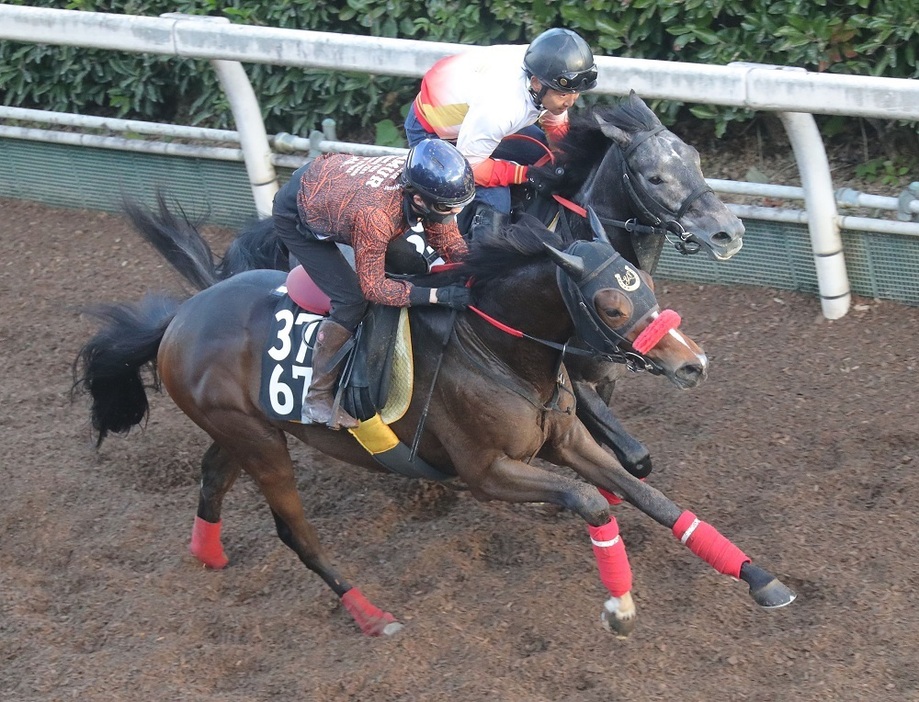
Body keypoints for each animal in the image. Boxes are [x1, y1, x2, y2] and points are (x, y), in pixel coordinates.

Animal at [75, 214, 796, 640]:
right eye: (612, 303)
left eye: (644, 282)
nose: (693, 362)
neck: (499, 348)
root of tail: (180, 318)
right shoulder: (486, 471)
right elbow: (591, 502)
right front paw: (619, 608)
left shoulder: (566, 439)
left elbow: (652, 496)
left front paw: (760, 578)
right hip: (260, 442)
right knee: (294, 532)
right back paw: (370, 615)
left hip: (244, 429)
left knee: (210, 476)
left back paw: (208, 554)